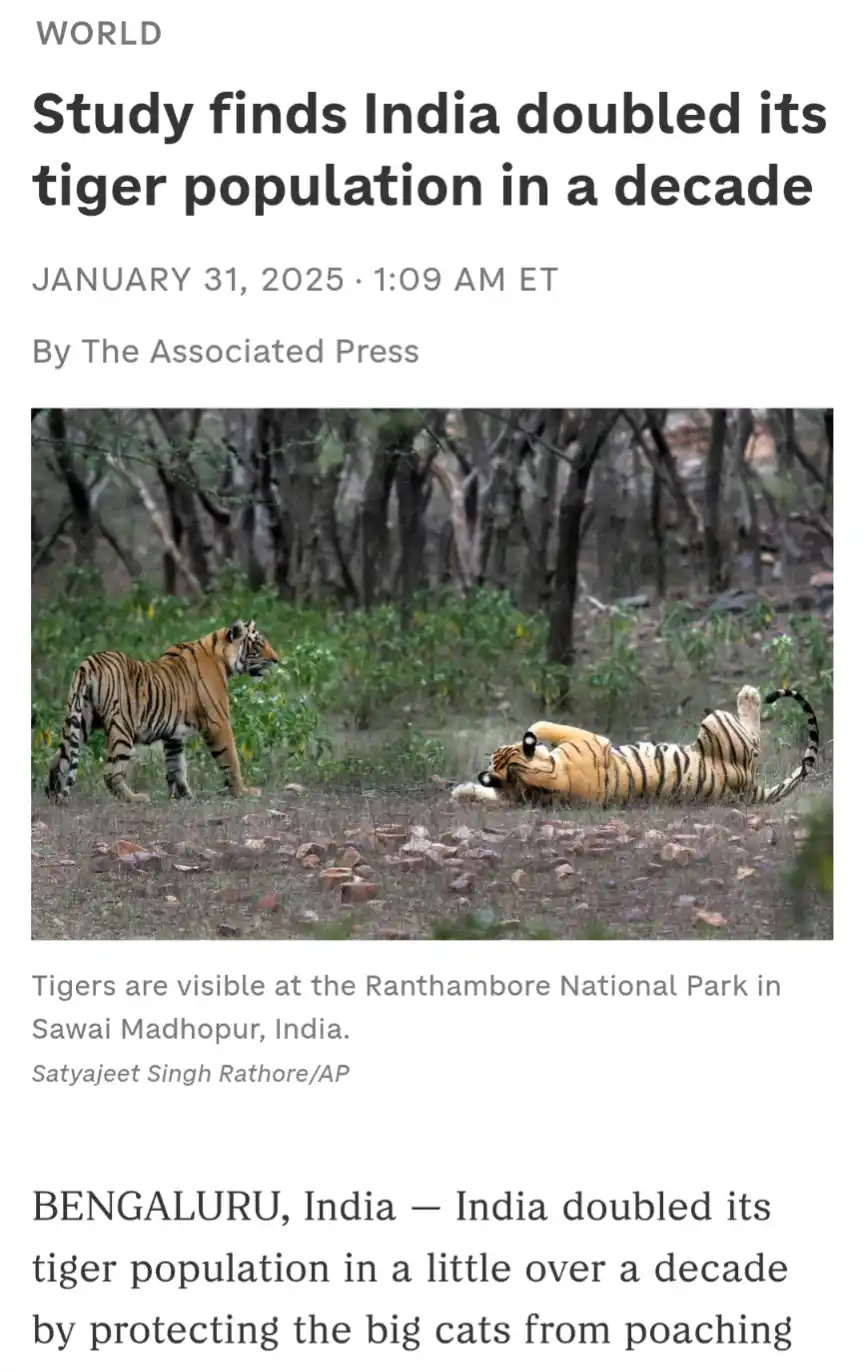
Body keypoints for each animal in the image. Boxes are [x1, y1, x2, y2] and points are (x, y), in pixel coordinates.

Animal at [46, 620, 279, 803]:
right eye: (259, 644)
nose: (277, 659)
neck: (220, 656)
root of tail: (89, 663)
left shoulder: (173, 734)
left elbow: (176, 765)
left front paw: (182, 795)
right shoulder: (218, 721)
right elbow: (231, 758)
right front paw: (243, 791)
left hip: (80, 721)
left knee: (59, 758)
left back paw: (53, 794)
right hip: (122, 727)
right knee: (110, 772)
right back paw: (135, 798)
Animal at [451, 686, 819, 808]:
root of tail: (750, 787)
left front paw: (463, 791)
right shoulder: (590, 739)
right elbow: (543, 724)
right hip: (717, 722)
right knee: (754, 738)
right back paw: (750, 694)